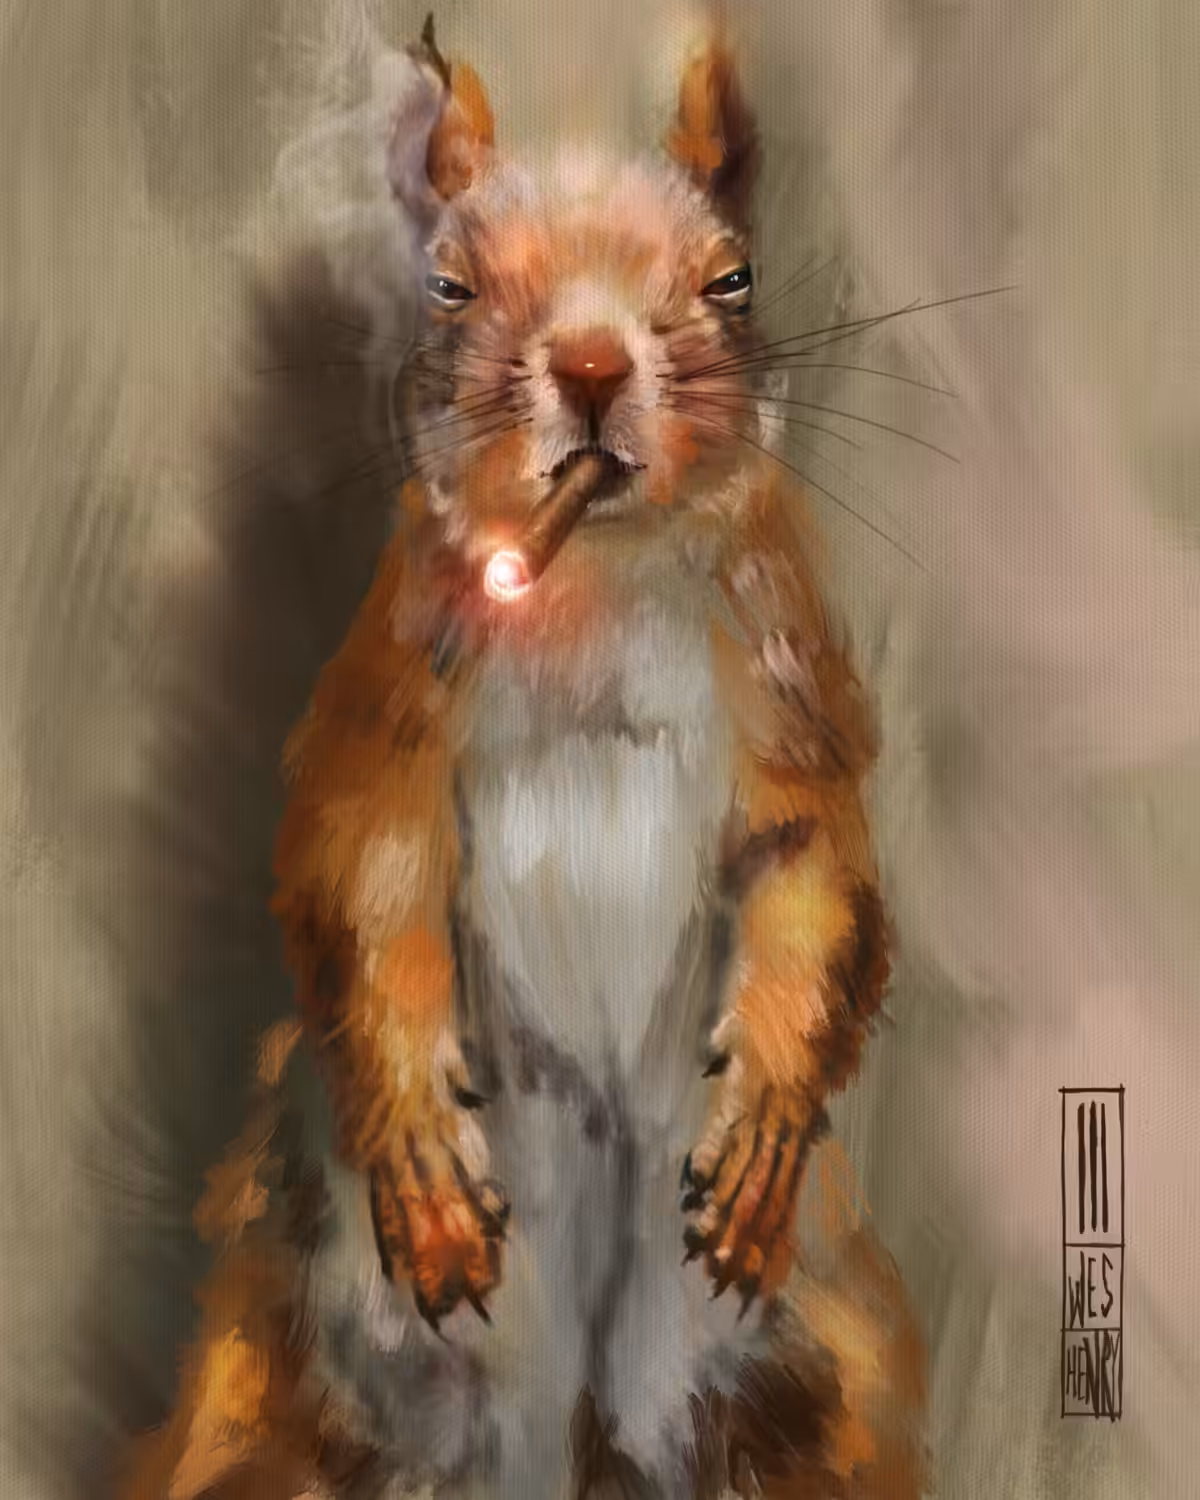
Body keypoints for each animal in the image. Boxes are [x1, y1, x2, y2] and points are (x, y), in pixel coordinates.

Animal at [118, 16, 928, 1499]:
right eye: (448, 285)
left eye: (732, 278)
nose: (594, 366)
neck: (593, 581)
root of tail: (583, 1425)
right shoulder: (393, 688)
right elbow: (362, 872)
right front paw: (425, 1158)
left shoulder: (792, 683)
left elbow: (817, 868)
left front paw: (763, 1121)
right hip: (305, 1378)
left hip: (799, 1376)